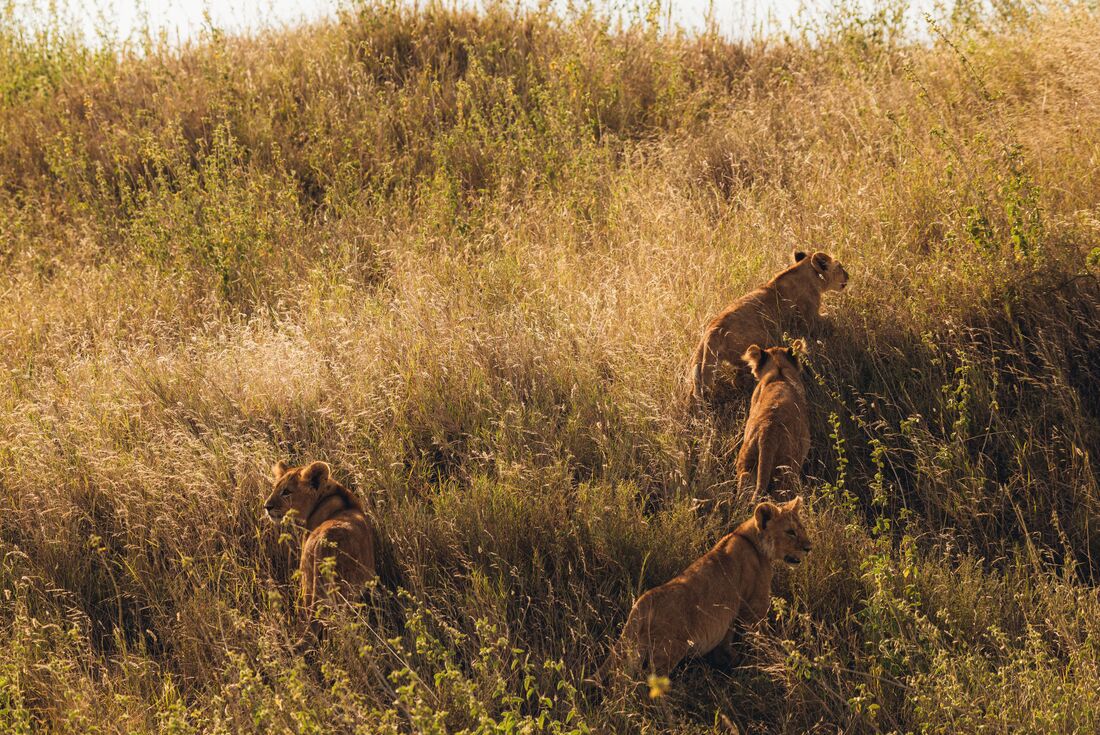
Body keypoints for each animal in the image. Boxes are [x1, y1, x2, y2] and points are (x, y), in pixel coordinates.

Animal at [599, 497, 811, 682]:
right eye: (790, 532)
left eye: (802, 528)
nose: (809, 548)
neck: (751, 540)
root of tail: (642, 603)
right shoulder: (752, 610)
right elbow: (758, 641)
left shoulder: (731, 616)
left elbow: (726, 645)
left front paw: (731, 663)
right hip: (667, 652)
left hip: (633, 650)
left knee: (622, 679)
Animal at [689, 250, 848, 402]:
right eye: (840, 266)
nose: (848, 276)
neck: (808, 272)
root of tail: (712, 331)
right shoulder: (809, 320)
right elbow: (828, 322)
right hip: (762, 340)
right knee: (742, 378)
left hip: (701, 360)